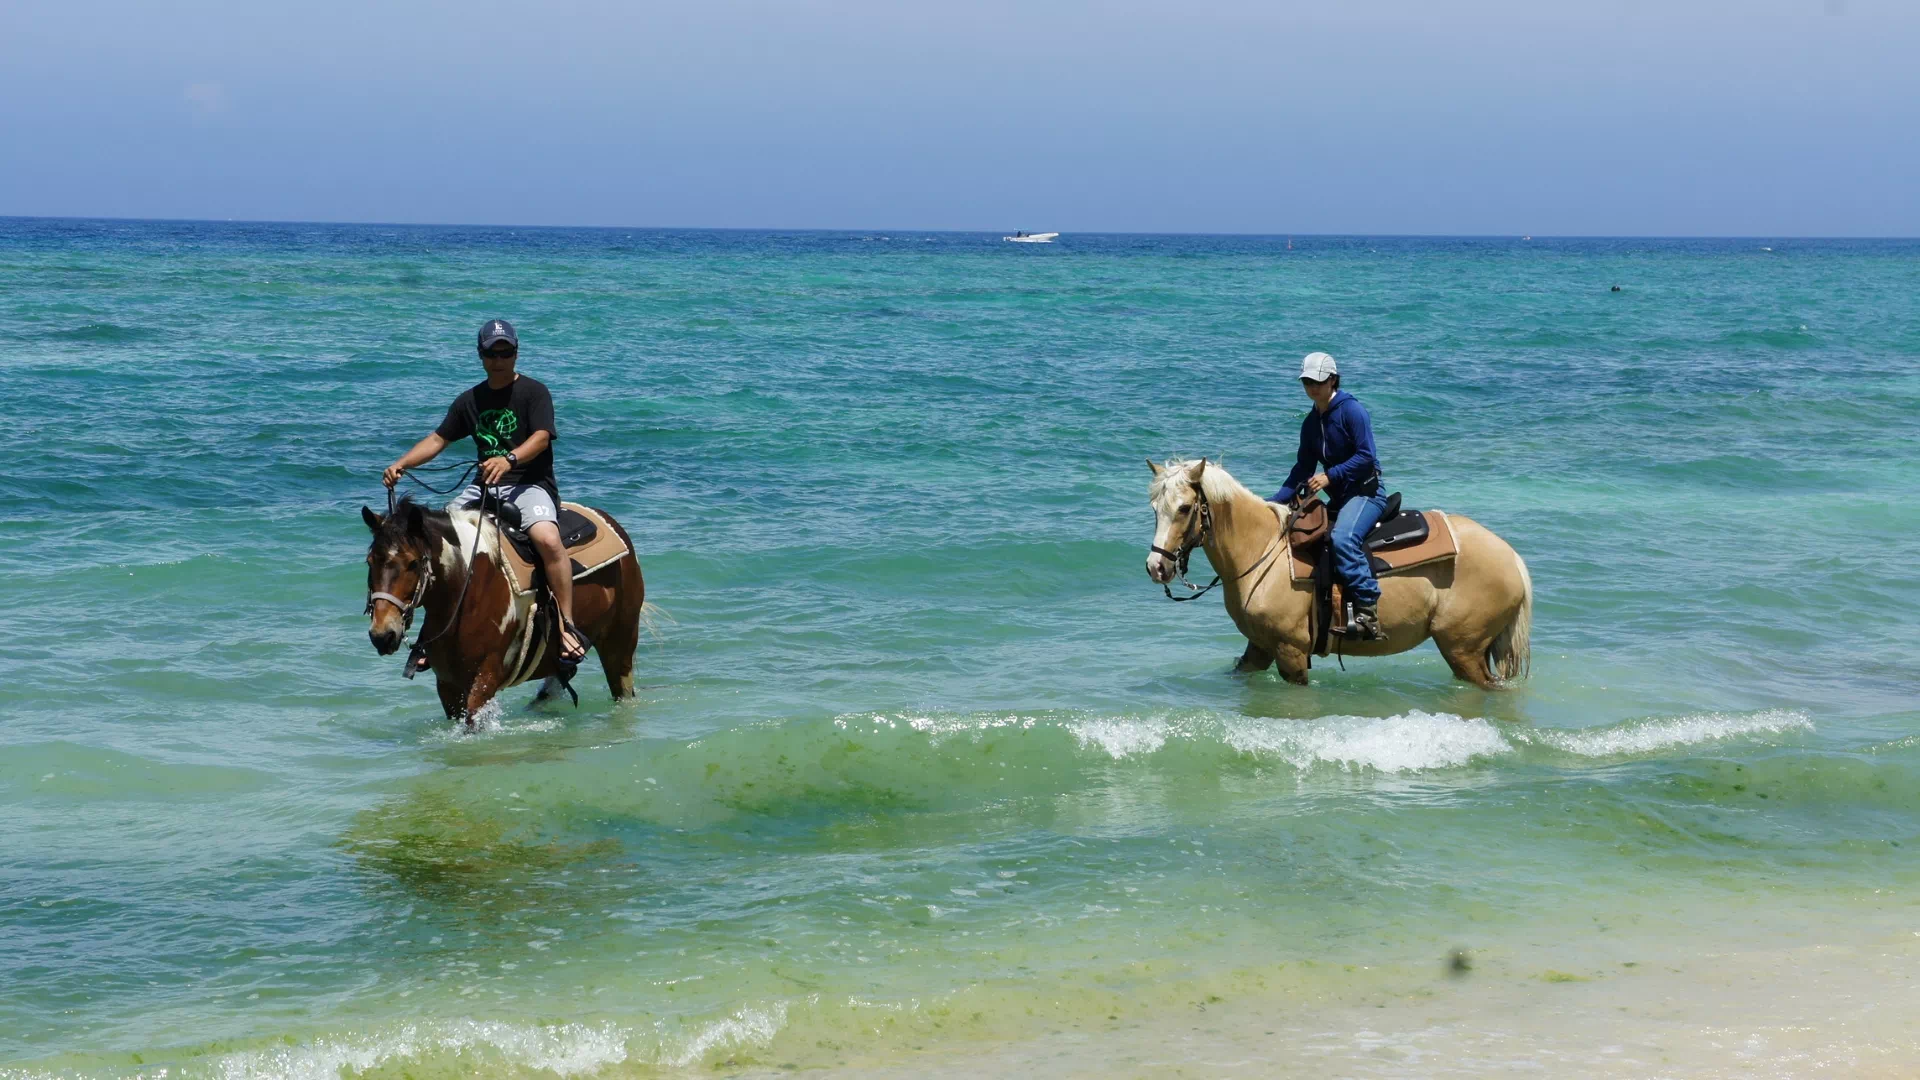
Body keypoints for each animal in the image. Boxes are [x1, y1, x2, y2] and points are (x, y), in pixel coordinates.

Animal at [362, 495, 648, 722]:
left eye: (412, 563)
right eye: (369, 561)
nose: (382, 635)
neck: (465, 590)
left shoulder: (486, 678)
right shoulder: (447, 685)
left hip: (620, 643)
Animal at [1144, 457, 1536, 684]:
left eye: (1184, 508)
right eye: (1154, 507)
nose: (1156, 566)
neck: (1263, 551)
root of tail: (1511, 557)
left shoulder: (1291, 652)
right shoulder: (1259, 647)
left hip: (1463, 649)